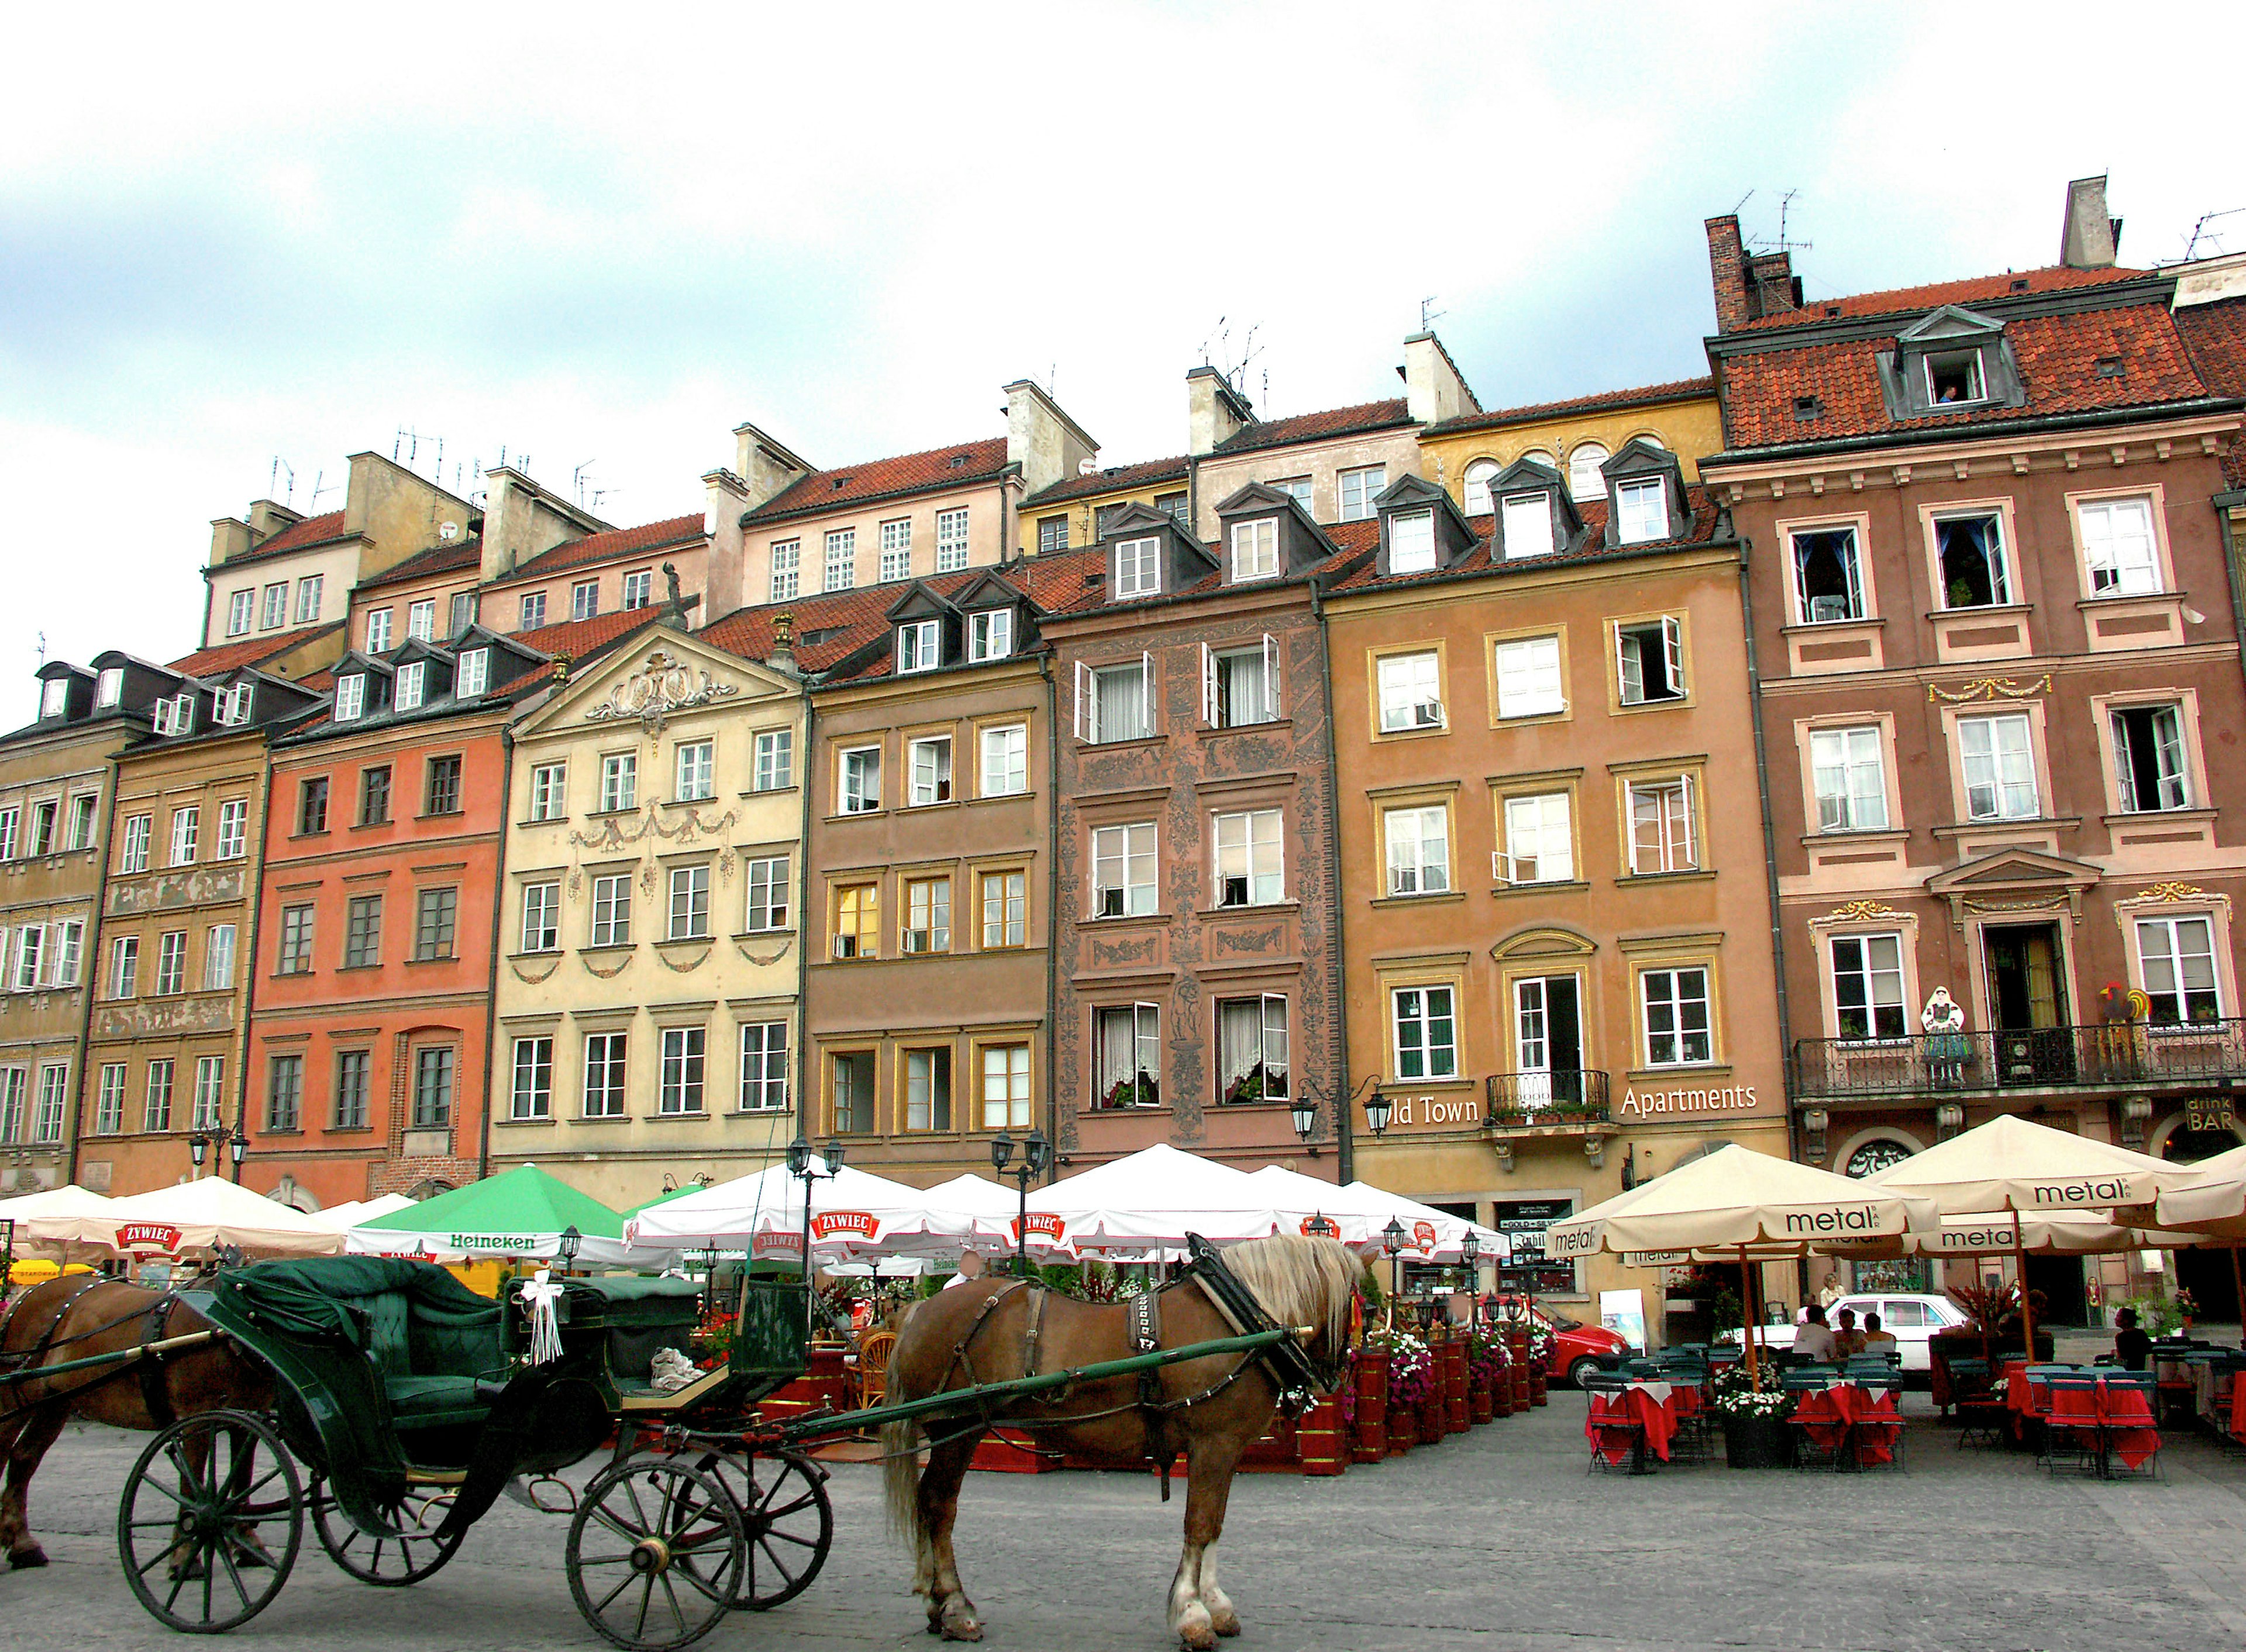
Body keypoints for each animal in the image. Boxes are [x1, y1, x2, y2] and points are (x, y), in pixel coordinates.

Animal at [0, 1275, 269, 1571]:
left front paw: (248, 1544)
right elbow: (193, 1482)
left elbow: (242, 1478)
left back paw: (23, 1545)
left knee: (24, 1458)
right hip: (18, 1400)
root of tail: (28, 1295)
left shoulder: (249, 1416)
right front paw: (185, 1554)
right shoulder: (196, 1413)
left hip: (56, 1403)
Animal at [884, 1230, 1356, 1643]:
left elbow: (1215, 1525)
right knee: (939, 1506)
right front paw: (1192, 1614)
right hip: (956, 1430)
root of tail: (919, 1311)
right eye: (1357, 1304)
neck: (1239, 1322)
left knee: (929, 1503)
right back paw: (955, 1607)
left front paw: (1216, 1605)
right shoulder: (1213, 1443)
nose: (1333, 1380)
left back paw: (935, 1604)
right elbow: (1200, 1525)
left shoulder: (1226, 1449)